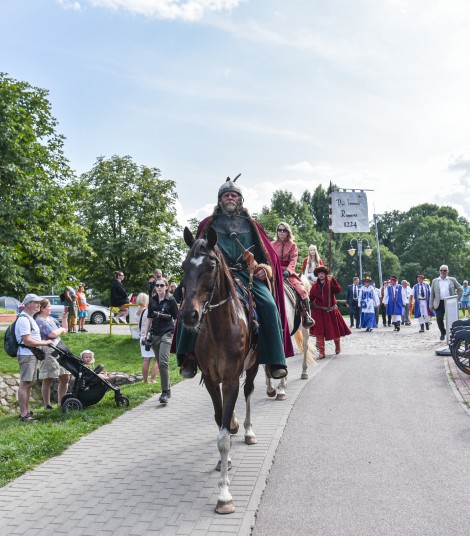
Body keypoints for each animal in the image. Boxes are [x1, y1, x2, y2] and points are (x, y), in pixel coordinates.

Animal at [182, 226, 258, 516]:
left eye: (211, 266)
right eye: (183, 267)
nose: (188, 315)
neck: (218, 329)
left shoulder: (232, 378)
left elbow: (224, 437)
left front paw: (225, 495)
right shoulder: (213, 380)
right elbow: (219, 422)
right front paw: (222, 464)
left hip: (254, 365)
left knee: (249, 393)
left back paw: (247, 431)